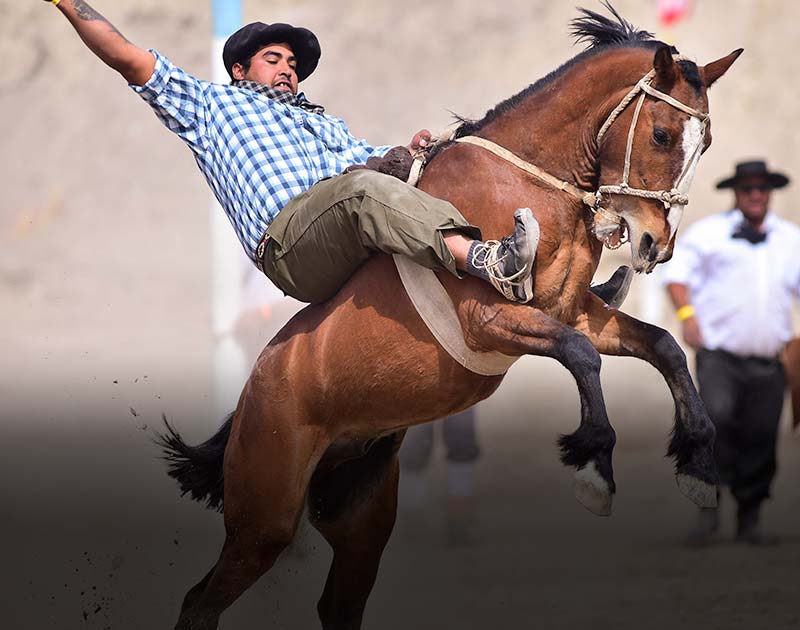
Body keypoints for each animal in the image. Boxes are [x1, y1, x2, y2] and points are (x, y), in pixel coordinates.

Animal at [159, 6, 740, 630]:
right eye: (661, 134)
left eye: (706, 143)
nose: (656, 244)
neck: (528, 182)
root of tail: (251, 395)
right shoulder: (491, 319)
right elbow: (581, 357)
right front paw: (594, 468)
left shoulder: (576, 312)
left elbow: (663, 346)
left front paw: (700, 465)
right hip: (264, 519)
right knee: (201, 601)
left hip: (359, 520)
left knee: (335, 604)